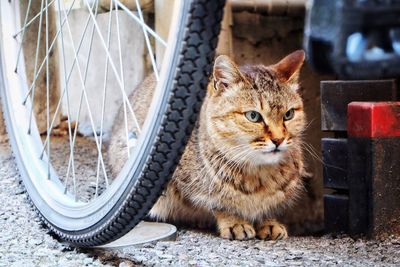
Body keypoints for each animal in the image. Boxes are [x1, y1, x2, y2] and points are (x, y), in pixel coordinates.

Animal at [108, 50, 306, 241]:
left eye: (288, 114)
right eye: (253, 116)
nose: (279, 139)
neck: (259, 174)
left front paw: (268, 222)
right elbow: (218, 204)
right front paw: (234, 221)